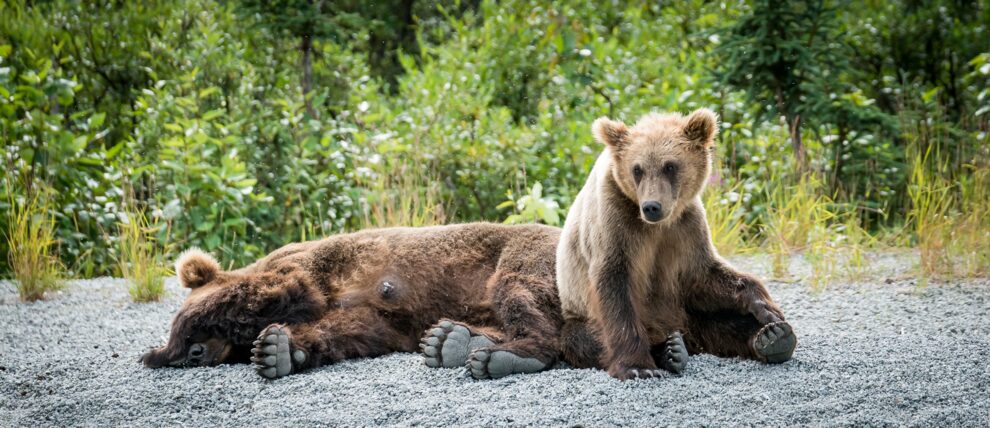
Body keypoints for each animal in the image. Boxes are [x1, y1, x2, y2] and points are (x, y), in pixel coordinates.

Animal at [140, 223, 563, 380]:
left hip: (525, 253)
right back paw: (454, 342)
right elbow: (346, 331)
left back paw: (512, 355)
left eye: (191, 336)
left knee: (517, 290)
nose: (194, 354)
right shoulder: (374, 318)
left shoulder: (309, 267)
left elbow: (279, 291)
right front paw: (278, 351)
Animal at [555, 109, 797, 380]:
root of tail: (685, 333)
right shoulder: (615, 224)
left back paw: (773, 336)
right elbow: (615, 288)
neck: (657, 225)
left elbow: (706, 272)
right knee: (583, 339)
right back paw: (670, 350)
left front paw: (768, 309)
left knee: (724, 321)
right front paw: (638, 367)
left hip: (689, 312)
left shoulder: (686, 229)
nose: (651, 206)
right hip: (579, 316)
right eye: (637, 169)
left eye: (670, 166)